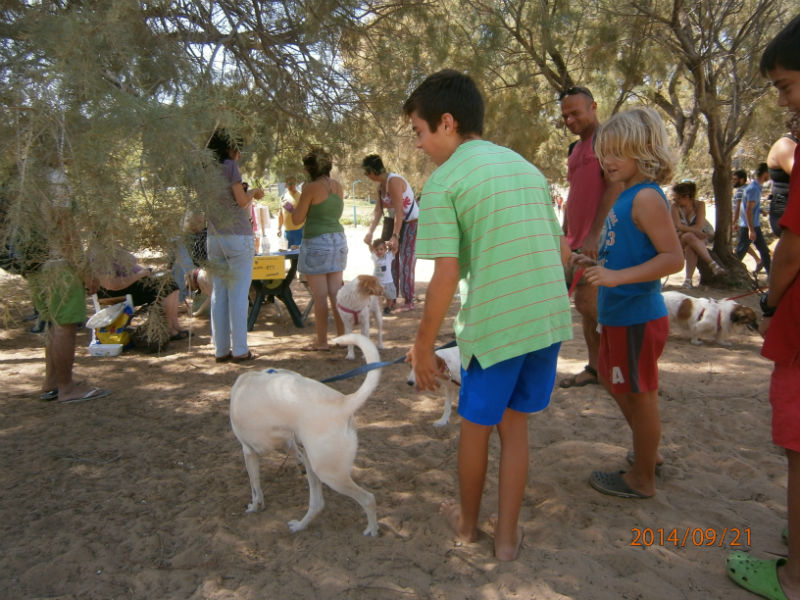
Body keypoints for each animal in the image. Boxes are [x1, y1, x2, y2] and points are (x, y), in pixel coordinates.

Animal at [231, 336, 382, 536]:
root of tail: (344, 402)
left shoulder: (248, 452)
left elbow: (255, 487)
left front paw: (254, 506)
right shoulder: (291, 443)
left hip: (330, 474)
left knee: (368, 499)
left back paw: (372, 529)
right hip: (315, 466)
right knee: (317, 504)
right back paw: (300, 526)